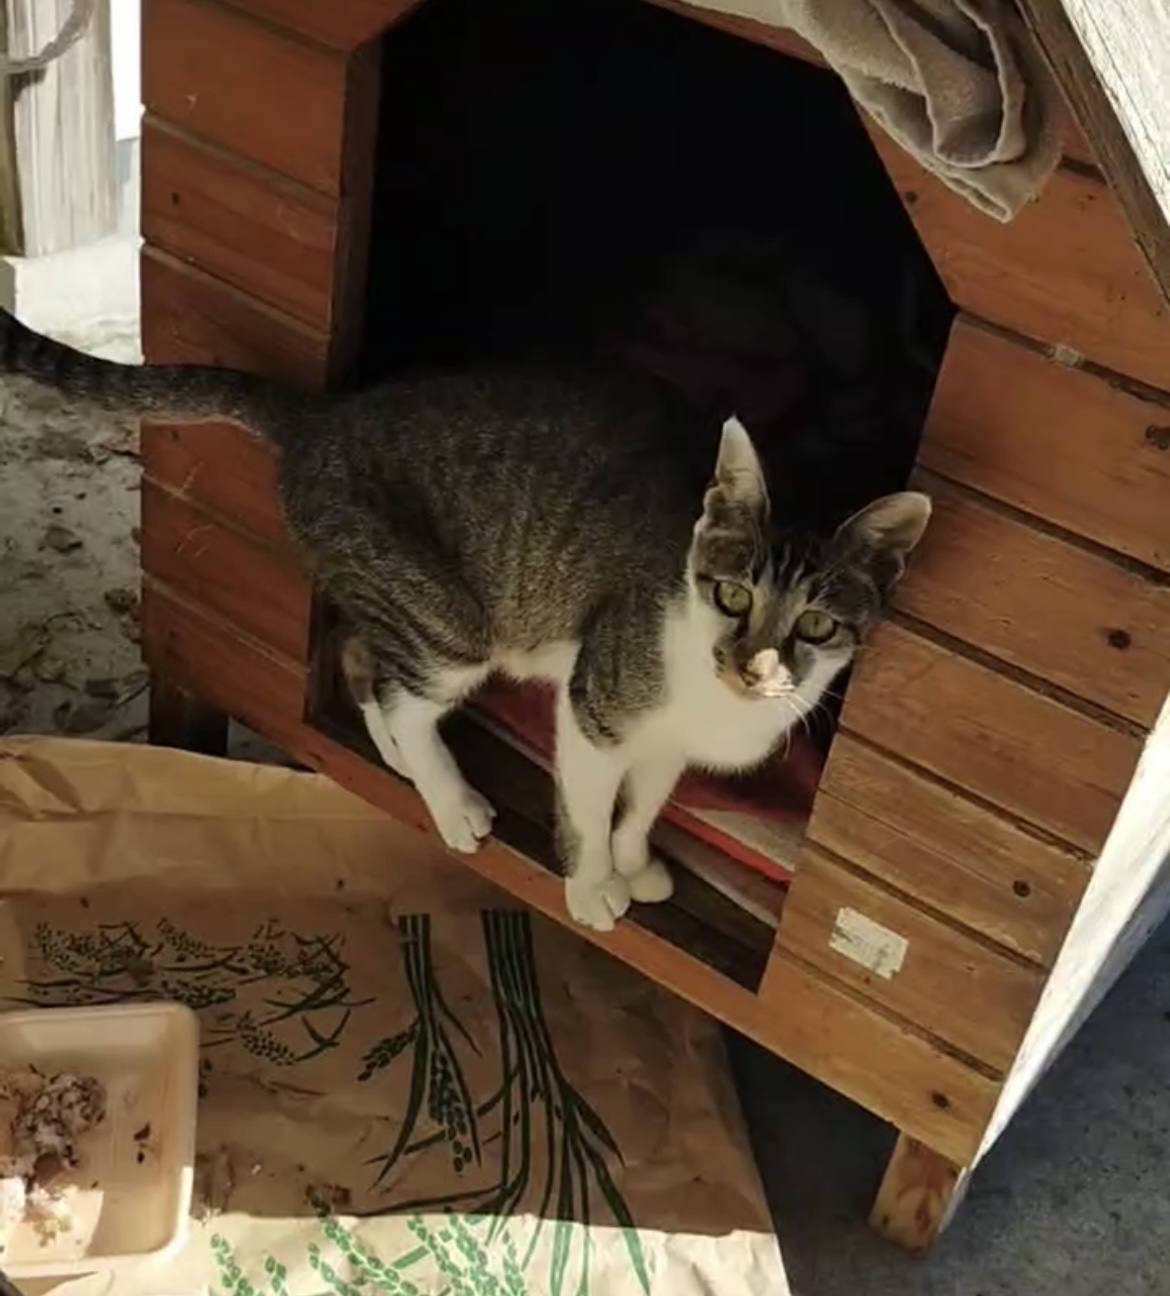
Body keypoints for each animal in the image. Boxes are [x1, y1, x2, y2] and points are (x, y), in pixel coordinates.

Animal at [0, 307, 930, 931]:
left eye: (817, 627)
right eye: (734, 595)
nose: (751, 666)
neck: (710, 701)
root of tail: (323, 414)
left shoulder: (668, 747)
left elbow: (645, 803)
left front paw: (637, 863)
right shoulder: (595, 709)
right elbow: (590, 807)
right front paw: (594, 885)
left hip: (404, 599)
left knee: (361, 657)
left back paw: (403, 762)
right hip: (449, 617)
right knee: (404, 690)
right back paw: (449, 801)